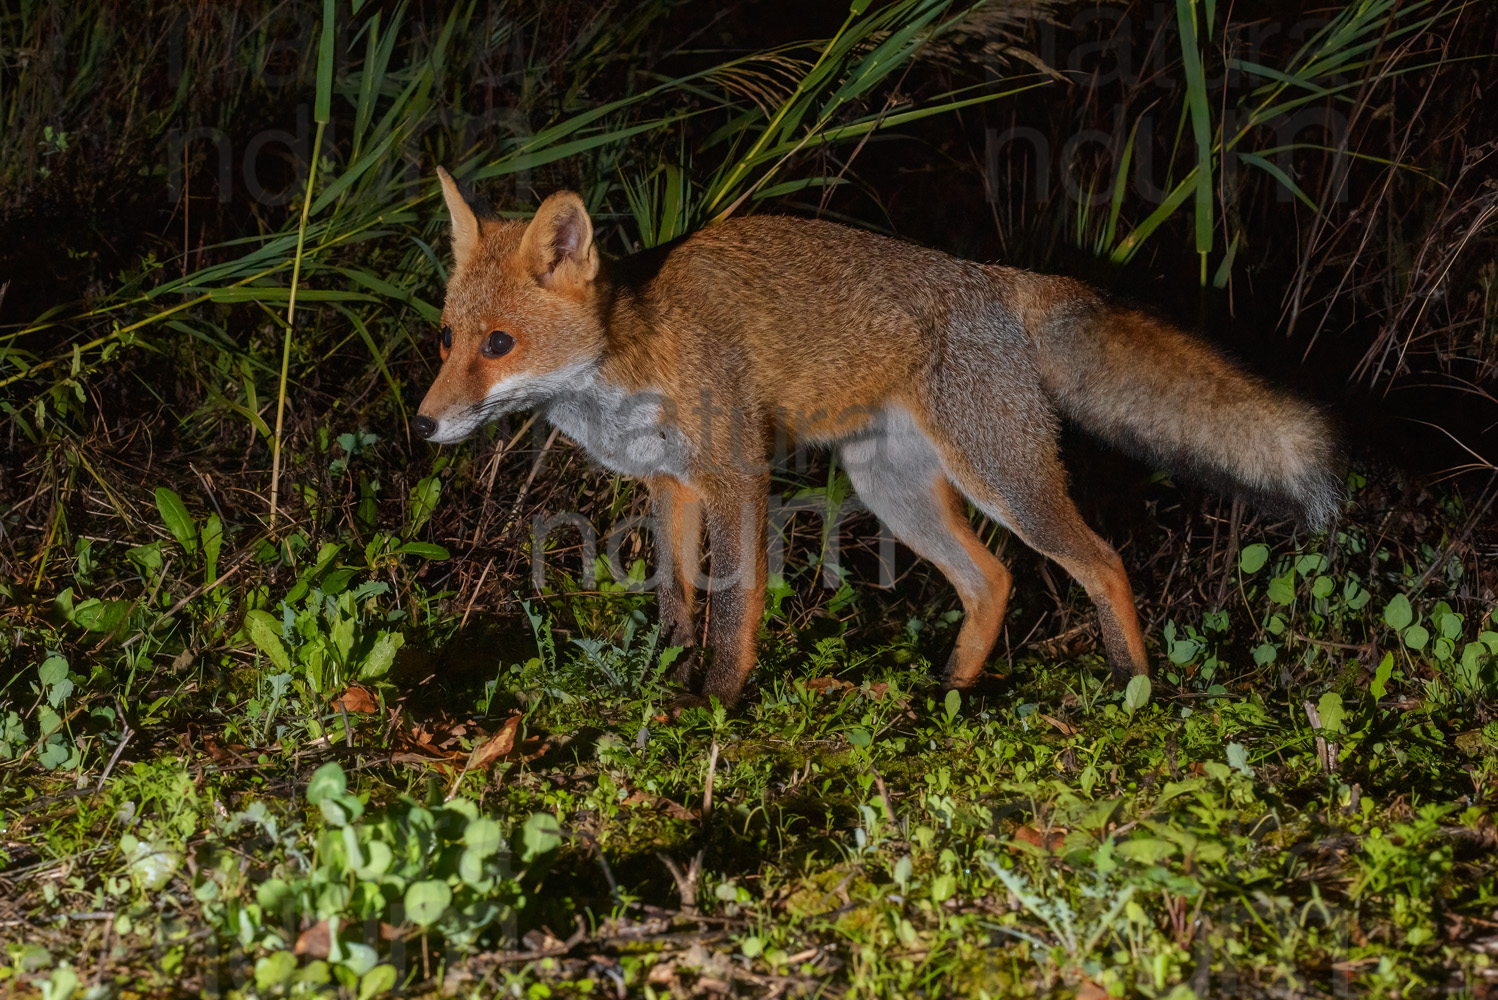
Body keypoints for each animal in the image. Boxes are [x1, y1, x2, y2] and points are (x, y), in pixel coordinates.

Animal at [416, 167, 1342, 706]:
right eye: (447, 338)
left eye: (498, 345)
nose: (422, 422)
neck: (631, 359)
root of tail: (1001, 278)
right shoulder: (669, 485)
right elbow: (675, 598)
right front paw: (664, 674)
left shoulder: (734, 476)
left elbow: (733, 603)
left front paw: (716, 699)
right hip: (893, 491)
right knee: (994, 581)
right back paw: (951, 692)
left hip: (1002, 477)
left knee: (1102, 562)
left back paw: (1133, 689)